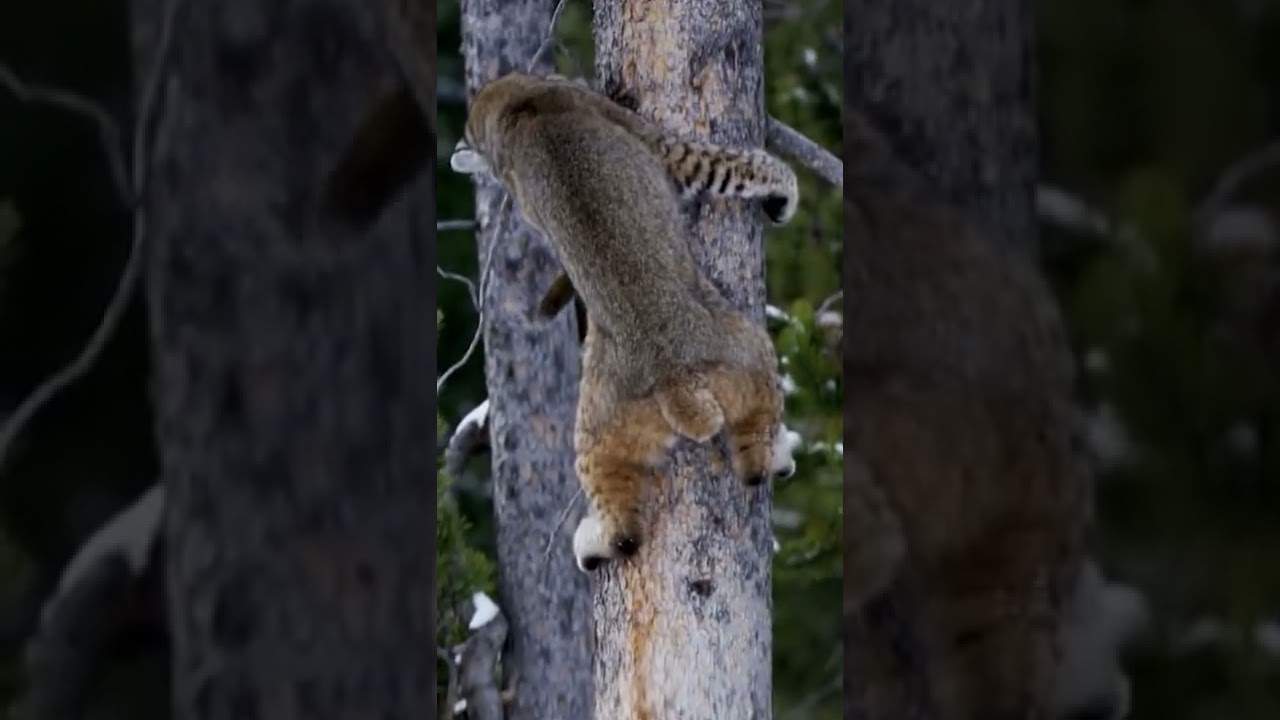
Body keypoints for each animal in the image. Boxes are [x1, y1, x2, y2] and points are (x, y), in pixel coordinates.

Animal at [450, 72, 799, 572]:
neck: (515, 110)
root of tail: (673, 378)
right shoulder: (664, 150)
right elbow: (743, 164)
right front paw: (784, 191)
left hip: (618, 419)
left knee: (656, 517)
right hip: (746, 346)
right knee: (738, 465)